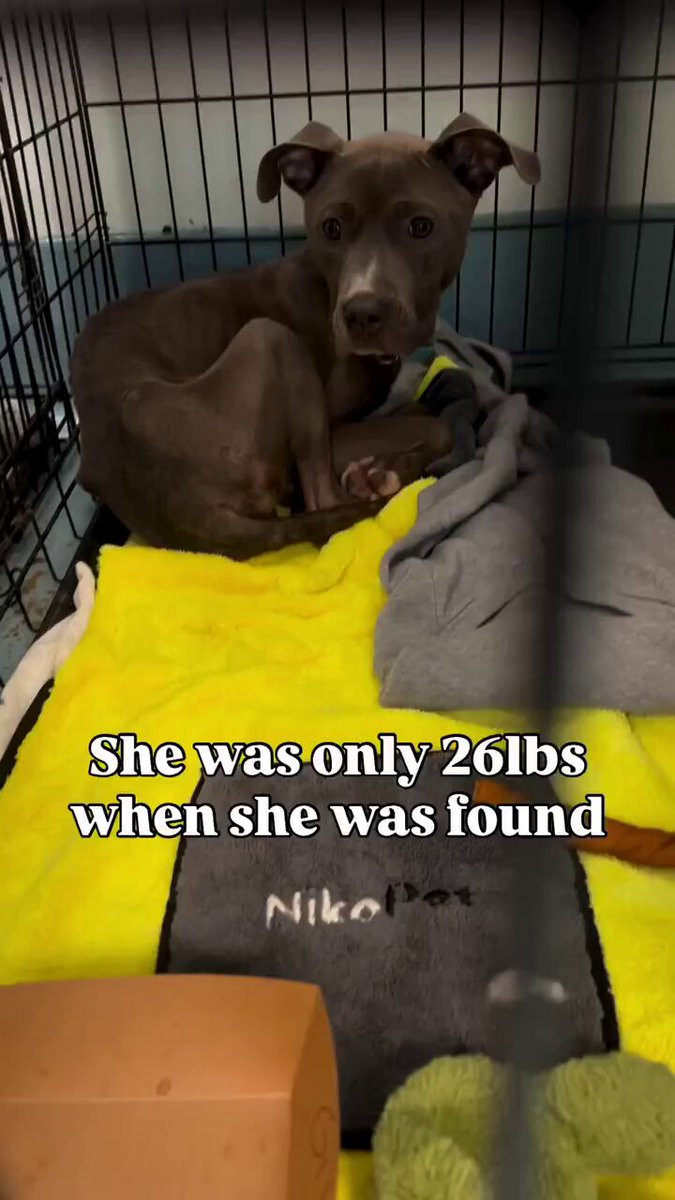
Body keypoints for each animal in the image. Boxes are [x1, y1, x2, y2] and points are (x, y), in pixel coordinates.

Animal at [70, 113, 540, 558]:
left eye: (421, 227)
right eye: (330, 228)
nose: (361, 313)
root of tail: (187, 512)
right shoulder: (338, 429)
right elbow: (438, 424)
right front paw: (384, 467)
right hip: (270, 337)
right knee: (321, 503)